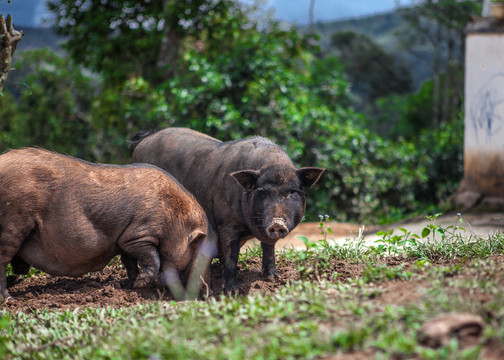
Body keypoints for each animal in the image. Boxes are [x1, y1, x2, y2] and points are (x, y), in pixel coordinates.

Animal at [0, 148, 211, 300]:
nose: (205, 293)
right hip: (13, 222)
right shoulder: (139, 233)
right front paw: (141, 285)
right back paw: (10, 299)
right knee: (2, 261)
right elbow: (152, 257)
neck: (176, 220)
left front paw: (131, 285)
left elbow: (129, 261)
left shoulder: (125, 240)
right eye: (198, 249)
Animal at [130, 128, 324, 294]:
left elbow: (268, 248)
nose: (277, 222)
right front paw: (231, 292)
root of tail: (144, 139)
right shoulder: (227, 224)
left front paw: (273, 278)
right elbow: (232, 256)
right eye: (263, 191)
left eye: (292, 191)